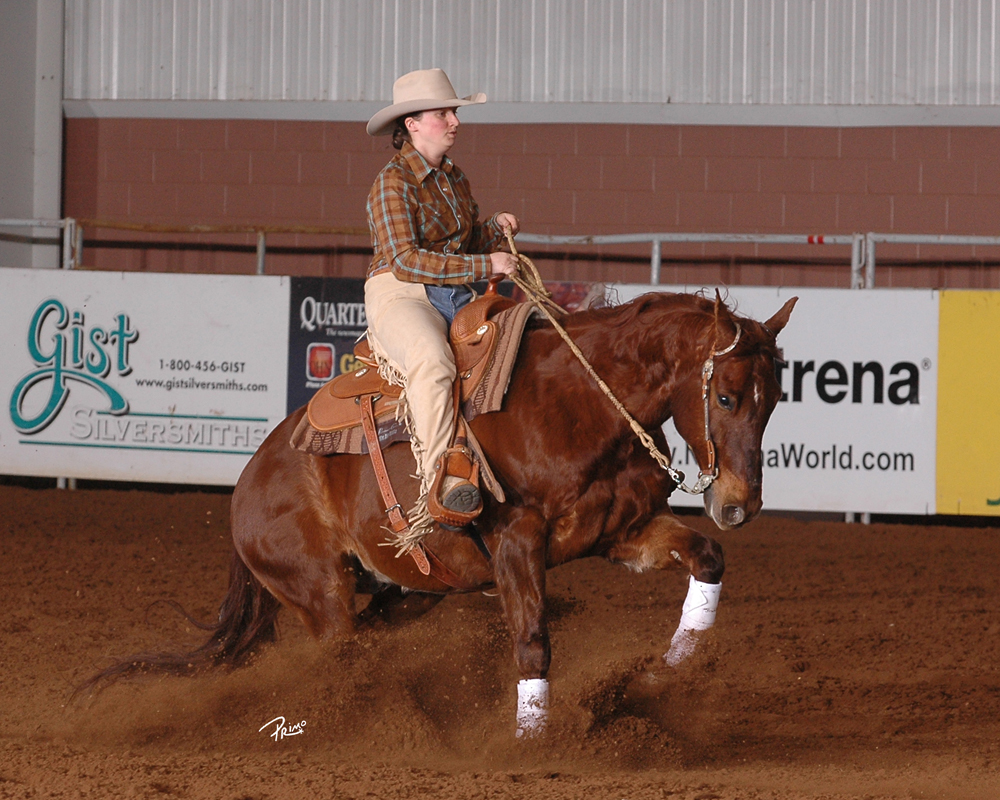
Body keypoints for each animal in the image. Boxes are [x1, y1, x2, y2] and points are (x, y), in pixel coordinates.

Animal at [90, 288, 800, 736]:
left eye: (774, 399)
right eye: (727, 396)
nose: (739, 504)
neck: (581, 404)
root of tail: (246, 484)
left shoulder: (622, 534)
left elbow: (706, 558)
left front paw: (658, 677)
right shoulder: (517, 542)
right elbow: (533, 643)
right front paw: (533, 743)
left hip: (408, 591)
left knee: (368, 645)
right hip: (320, 594)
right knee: (344, 660)